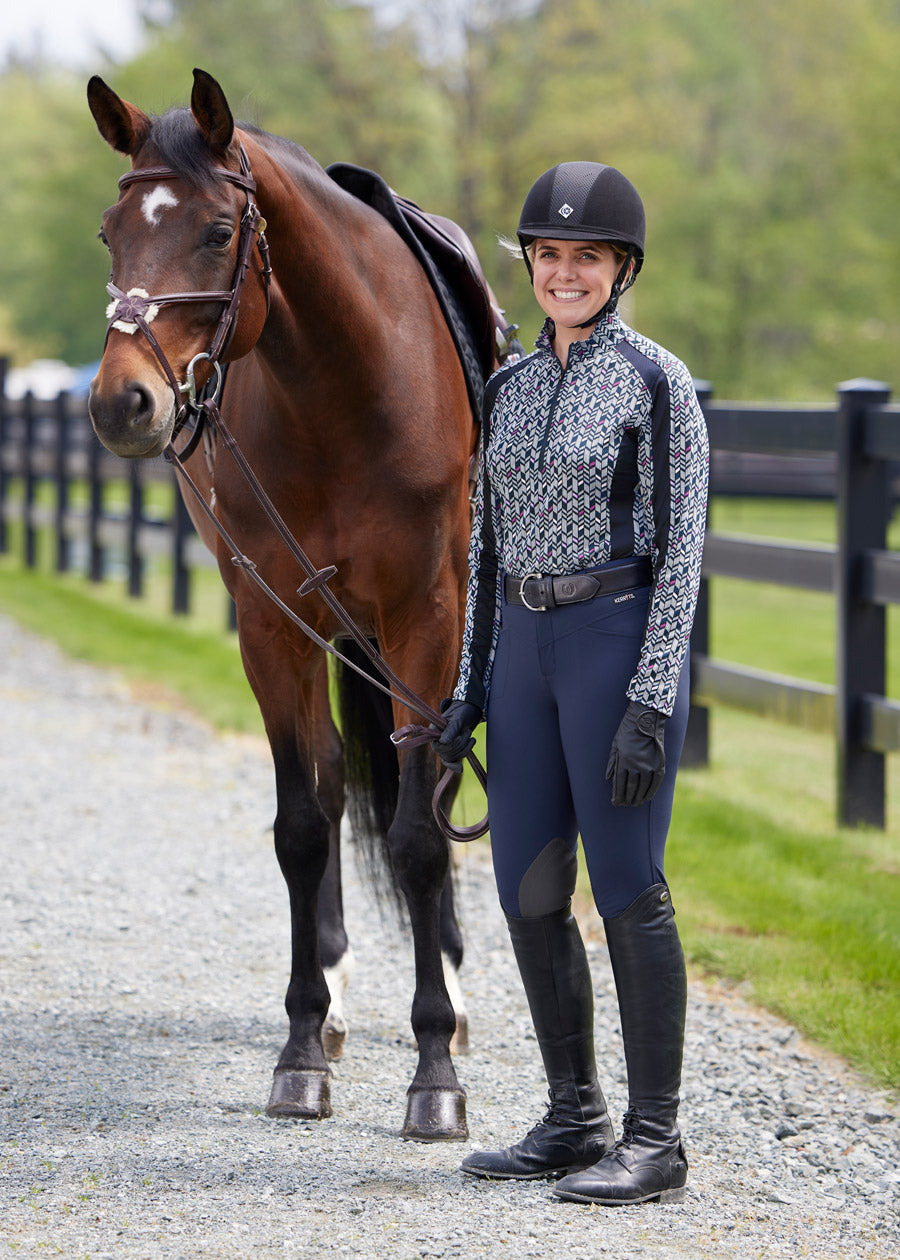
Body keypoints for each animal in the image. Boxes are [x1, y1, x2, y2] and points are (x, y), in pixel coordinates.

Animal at [86, 68, 499, 1141]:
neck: (343, 390)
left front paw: (436, 1076)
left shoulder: (427, 621)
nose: (120, 402)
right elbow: (303, 827)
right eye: (110, 232)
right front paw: (302, 1050)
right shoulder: (271, 625)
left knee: (432, 798)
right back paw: (342, 999)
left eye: (217, 232)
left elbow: (418, 834)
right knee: (331, 785)